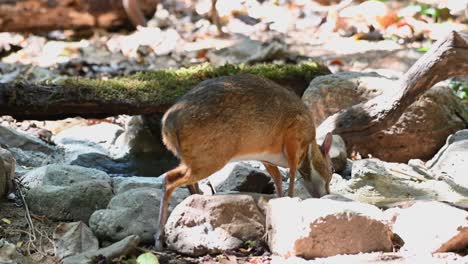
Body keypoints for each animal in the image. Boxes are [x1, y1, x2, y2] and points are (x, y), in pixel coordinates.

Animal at [155, 74, 334, 250]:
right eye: (332, 169)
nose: (327, 193)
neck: (309, 149)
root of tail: (168, 126)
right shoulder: (294, 141)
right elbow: (290, 176)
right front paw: (290, 199)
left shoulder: (266, 158)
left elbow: (277, 179)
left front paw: (278, 203)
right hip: (208, 160)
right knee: (170, 180)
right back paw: (158, 239)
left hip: (194, 160)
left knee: (174, 179)